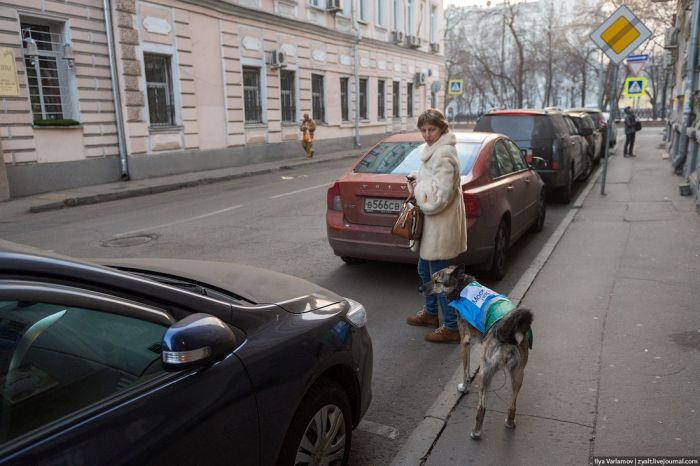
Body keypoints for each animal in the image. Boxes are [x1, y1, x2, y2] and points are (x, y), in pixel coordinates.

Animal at [418, 264, 532, 438]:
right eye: (431, 278)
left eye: (437, 282)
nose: (419, 289)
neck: (461, 286)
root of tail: (508, 332)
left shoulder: (464, 342)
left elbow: (466, 370)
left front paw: (464, 388)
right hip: (518, 374)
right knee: (512, 404)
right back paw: (510, 422)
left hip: (484, 372)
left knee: (482, 407)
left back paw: (476, 431)